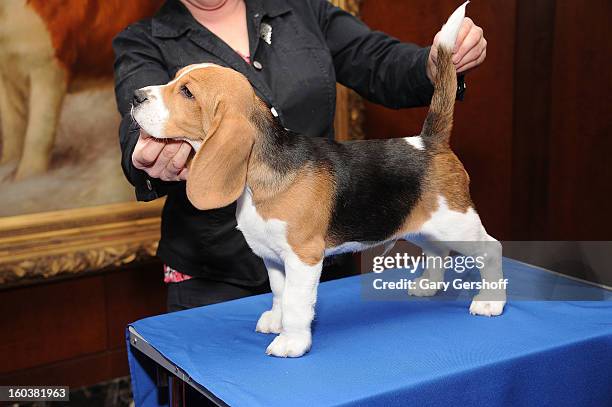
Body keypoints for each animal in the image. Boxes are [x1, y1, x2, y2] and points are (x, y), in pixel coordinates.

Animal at [131, 1, 504, 358]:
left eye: (187, 93)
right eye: (174, 78)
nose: (135, 96)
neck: (259, 177)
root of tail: (430, 141)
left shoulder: (304, 257)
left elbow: (297, 304)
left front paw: (291, 342)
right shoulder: (273, 258)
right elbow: (279, 293)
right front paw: (276, 320)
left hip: (457, 222)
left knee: (491, 249)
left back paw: (490, 300)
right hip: (420, 224)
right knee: (438, 249)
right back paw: (430, 285)